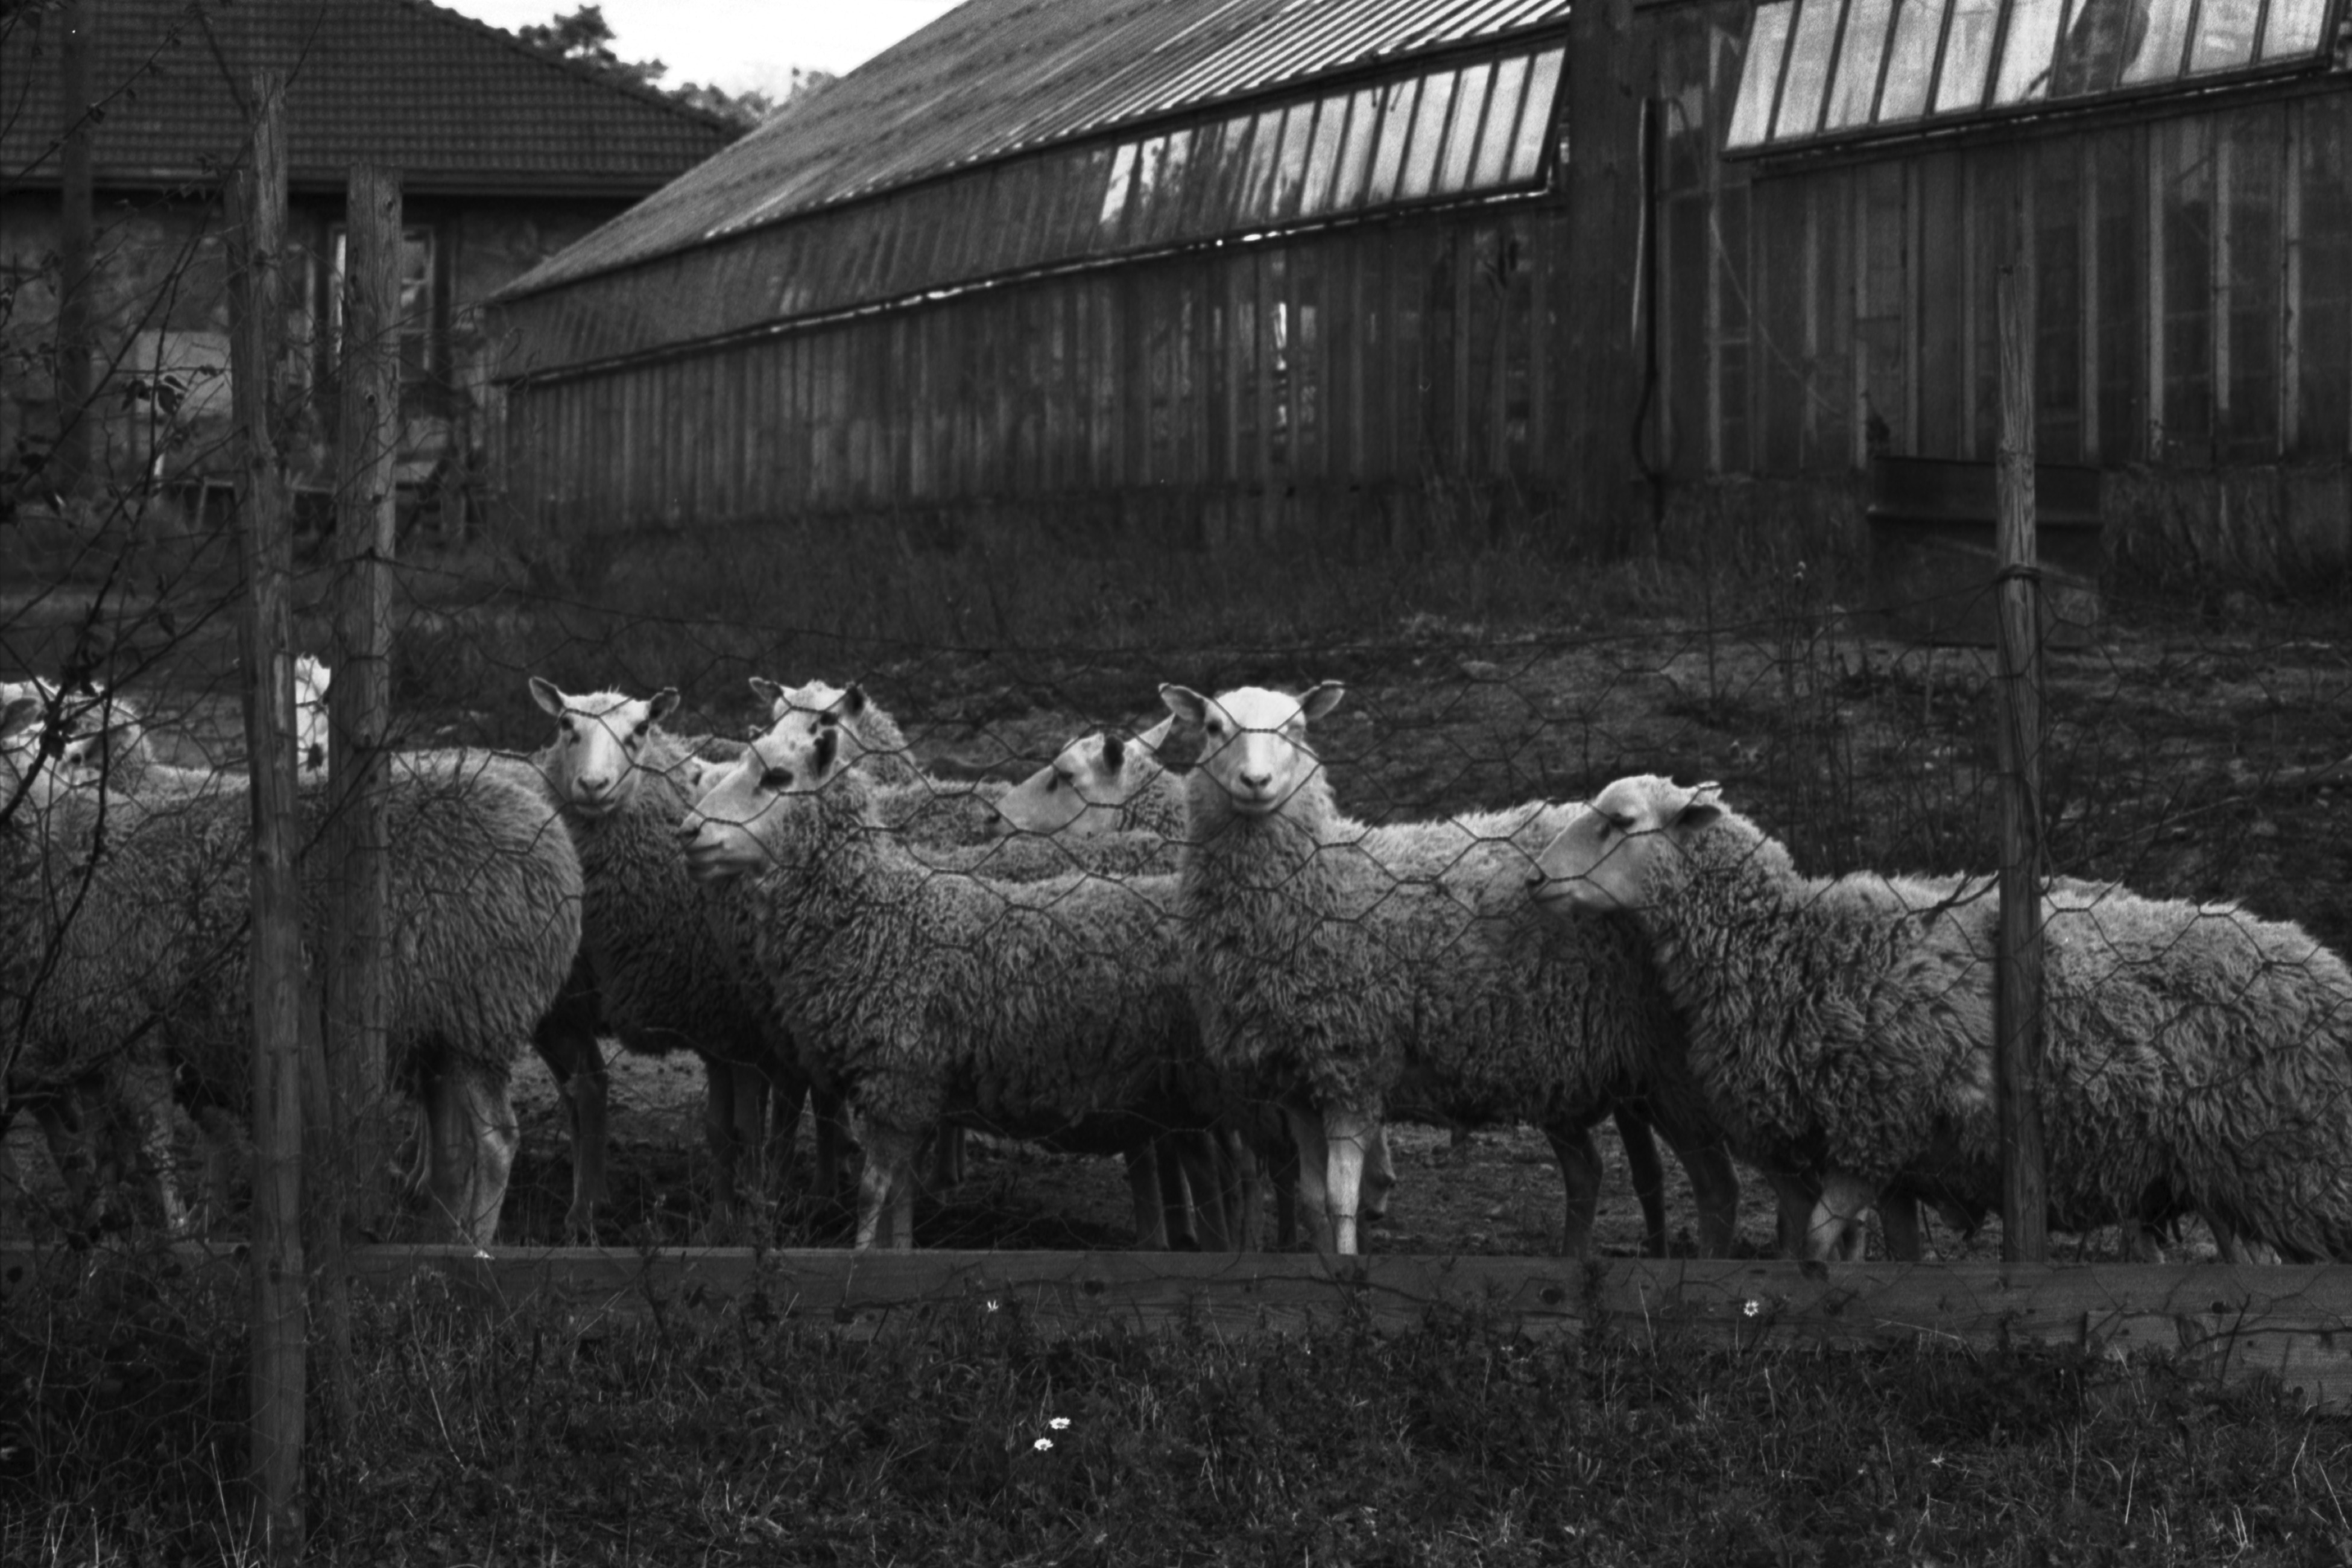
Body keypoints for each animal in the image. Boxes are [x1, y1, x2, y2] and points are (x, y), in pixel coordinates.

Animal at [0, 691, 583, 1241]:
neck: (62, 851)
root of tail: (553, 838)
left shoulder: (125, 1021)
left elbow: (154, 1139)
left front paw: (178, 1232)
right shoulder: (84, 1035)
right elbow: (96, 1143)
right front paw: (106, 1218)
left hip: (482, 1008)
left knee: (497, 1140)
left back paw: (475, 1244)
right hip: (443, 1024)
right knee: (456, 1149)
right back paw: (442, 1234)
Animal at [682, 700, 1232, 1250]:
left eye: (777, 777)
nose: (688, 831)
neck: (878, 914)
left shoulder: (897, 1081)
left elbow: (873, 1193)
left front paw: (859, 1257)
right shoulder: (909, 1093)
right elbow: (897, 1201)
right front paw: (896, 1254)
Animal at [1162, 681, 1740, 1260]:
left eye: (1297, 729)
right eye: (1213, 727)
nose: (1255, 783)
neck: (1321, 883)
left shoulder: (1353, 1067)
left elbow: (1339, 1199)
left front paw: (1347, 1270)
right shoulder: (1297, 1083)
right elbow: (1309, 1202)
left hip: (1668, 1063)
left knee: (1715, 1182)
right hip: (1571, 1060)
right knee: (1592, 1170)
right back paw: (1577, 1258)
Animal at [1533, 780, 2352, 1269]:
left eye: (1619, 822)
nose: (1537, 876)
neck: (1794, 945)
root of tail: (2320, 959)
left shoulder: (1873, 1127)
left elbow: (1824, 1241)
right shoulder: (1896, 1157)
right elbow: (1889, 1252)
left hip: (2296, 1171)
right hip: (2224, 1171)